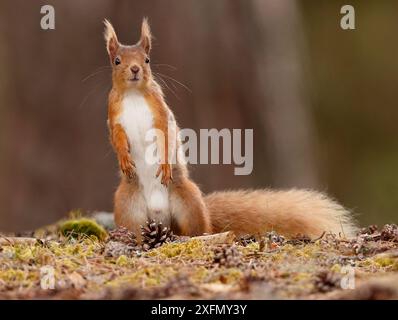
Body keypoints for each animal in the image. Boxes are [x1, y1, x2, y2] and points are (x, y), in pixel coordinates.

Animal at [102, 18, 358, 242]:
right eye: (117, 61)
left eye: (147, 60)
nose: (135, 69)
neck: (134, 95)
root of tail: (162, 220)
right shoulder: (114, 117)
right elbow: (116, 138)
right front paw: (124, 158)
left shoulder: (161, 112)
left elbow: (166, 135)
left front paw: (164, 164)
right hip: (126, 206)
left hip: (189, 201)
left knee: (199, 228)